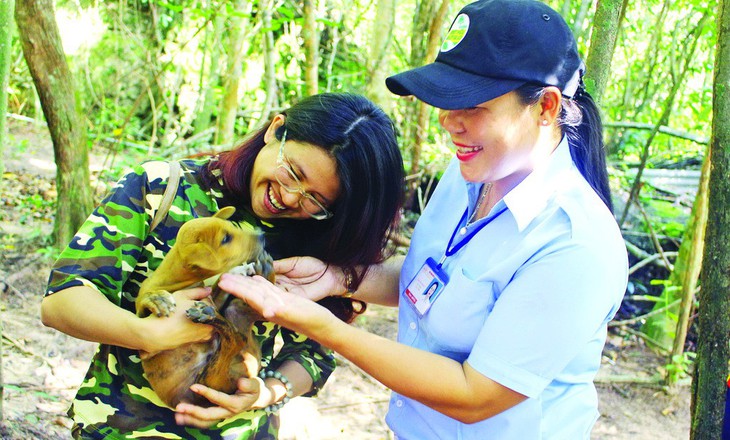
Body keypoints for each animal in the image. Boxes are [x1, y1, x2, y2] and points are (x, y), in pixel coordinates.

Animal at [135, 208, 274, 408]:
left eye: (233, 226)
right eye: (225, 239)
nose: (262, 235)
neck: (175, 282)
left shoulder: (211, 296)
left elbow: (218, 285)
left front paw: (237, 271)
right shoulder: (146, 345)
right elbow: (143, 299)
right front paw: (158, 298)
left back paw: (265, 271)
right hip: (210, 380)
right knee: (235, 340)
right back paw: (209, 314)